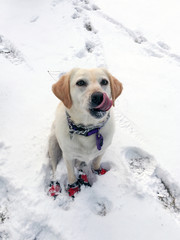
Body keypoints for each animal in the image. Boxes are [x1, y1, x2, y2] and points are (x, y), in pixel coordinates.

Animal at [48, 67, 123, 197]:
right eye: (81, 82)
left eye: (104, 82)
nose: (99, 96)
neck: (88, 130)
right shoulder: (68, 155)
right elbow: (71, 174)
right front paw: (73, 186)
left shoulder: (102, 150)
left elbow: (96, 162)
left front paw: (97, 171)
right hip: (53, 143)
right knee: (54, 169)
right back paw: (54, 186)